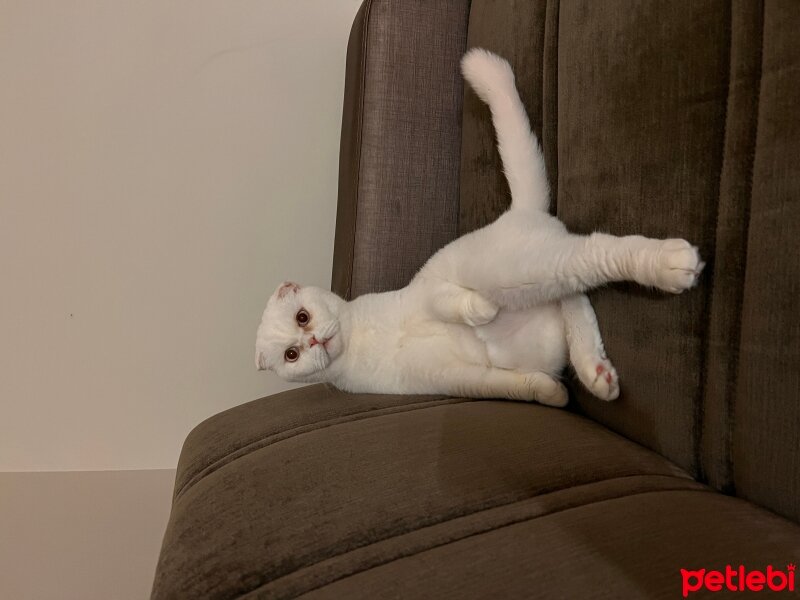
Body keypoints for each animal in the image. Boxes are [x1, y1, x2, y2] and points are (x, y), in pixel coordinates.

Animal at [253, 49, 704, 408]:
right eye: (291, 356)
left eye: (302, 317)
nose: (312, 341)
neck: (365, 341)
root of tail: (516, 213)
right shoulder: (454, 381)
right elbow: (515, 386)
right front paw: (553, 394)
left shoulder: (426, 291)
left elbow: (445, 300)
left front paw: (481, 312)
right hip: (536, 276)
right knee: (574, 295)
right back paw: (596, 372)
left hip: (510, 271)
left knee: (591, 256)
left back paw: (673, 264)